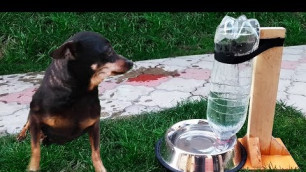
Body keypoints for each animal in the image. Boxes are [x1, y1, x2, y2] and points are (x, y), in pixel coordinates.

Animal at [15, 31, 133, 172]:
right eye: (109, 51)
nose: (131, 62)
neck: (79, 94)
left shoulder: (95, 125)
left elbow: (96, 153)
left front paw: (101, 169)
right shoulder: (35, 118)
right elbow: (35, 149)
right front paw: (33, 167)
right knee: (27, 123)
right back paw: (23, 134)